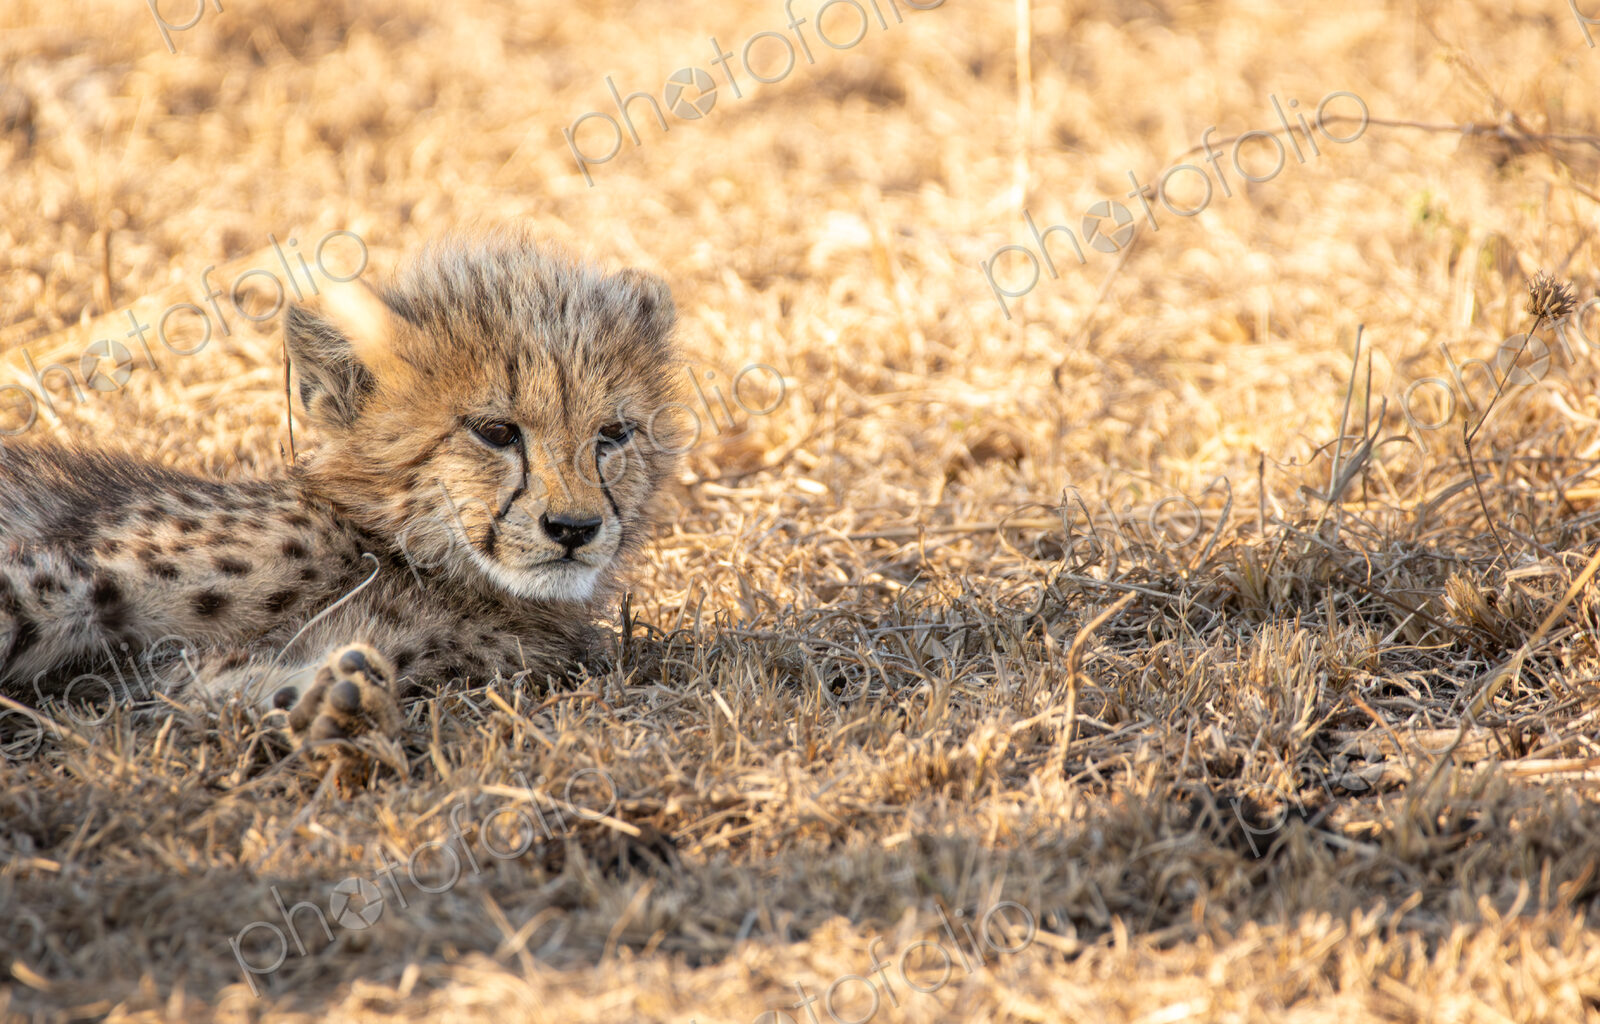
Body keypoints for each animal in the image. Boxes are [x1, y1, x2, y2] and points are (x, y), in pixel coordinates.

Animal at [0, 226, 685, 783]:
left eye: (613, 434)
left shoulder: (127, 683)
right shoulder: (69, 581)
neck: (408, 559)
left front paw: (336, 705)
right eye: (496, 431)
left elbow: (191, 691)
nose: (574, 528)